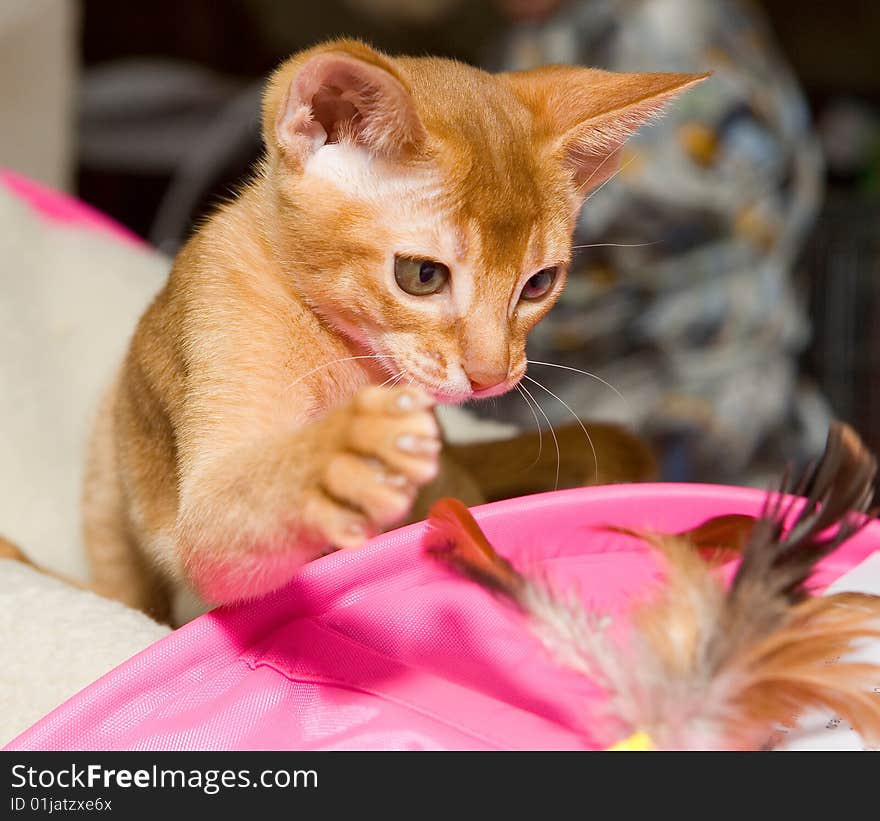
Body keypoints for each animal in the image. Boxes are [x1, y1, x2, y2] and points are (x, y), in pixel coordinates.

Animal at [79, 38, 704, 616]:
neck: (343, 353)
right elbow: (225, 516)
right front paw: (341, 455)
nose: (492, 376)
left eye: (538, 284)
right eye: (422, 276)